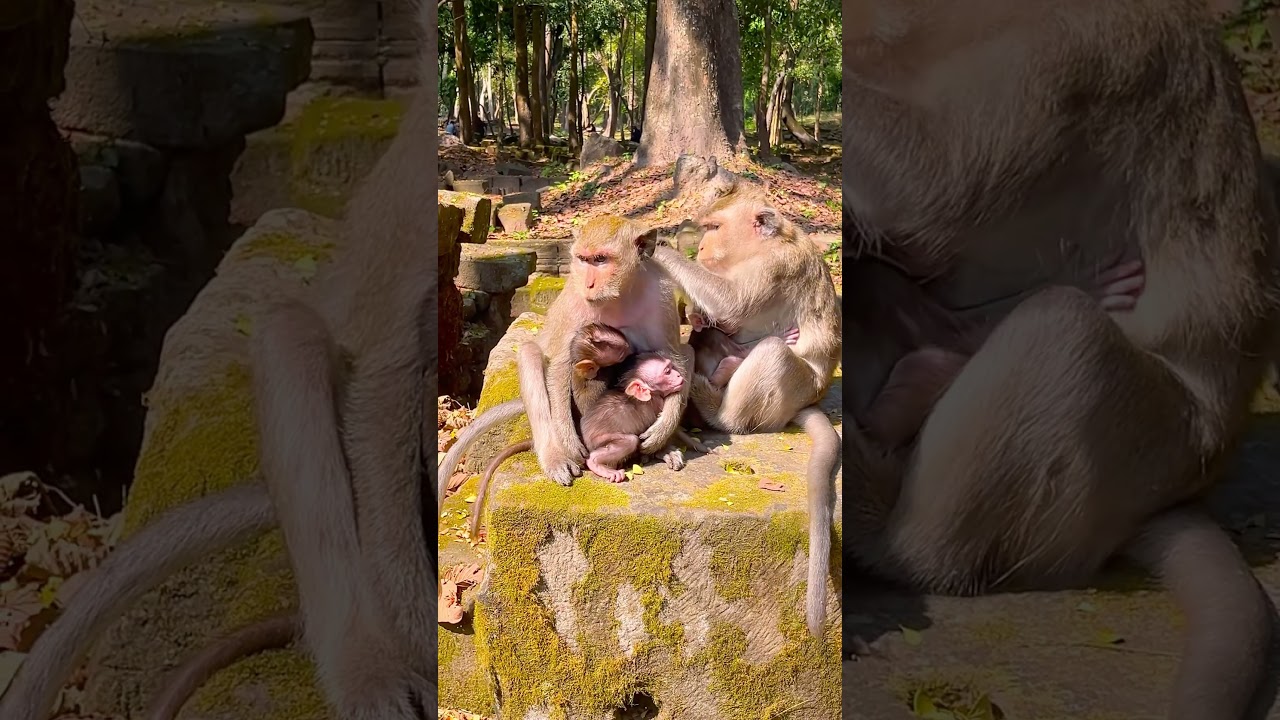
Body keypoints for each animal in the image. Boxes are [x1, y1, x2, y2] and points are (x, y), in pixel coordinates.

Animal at [580, 351, 687, 482]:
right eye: (667, 372)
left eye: (672, 367)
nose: (678, 375)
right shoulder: (658, 401)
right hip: (597, 440)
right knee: (630, 441)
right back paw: (596, 463)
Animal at [647, 185, 843, 639]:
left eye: (715, 227)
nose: (700, 247)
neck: (765, 246)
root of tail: (810, 401)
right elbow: (716, 317)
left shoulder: (774, 268)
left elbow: (732, 304)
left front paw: (657, 247)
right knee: (713, 338)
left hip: (791, 390)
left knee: (770, 352)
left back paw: (716, 404)